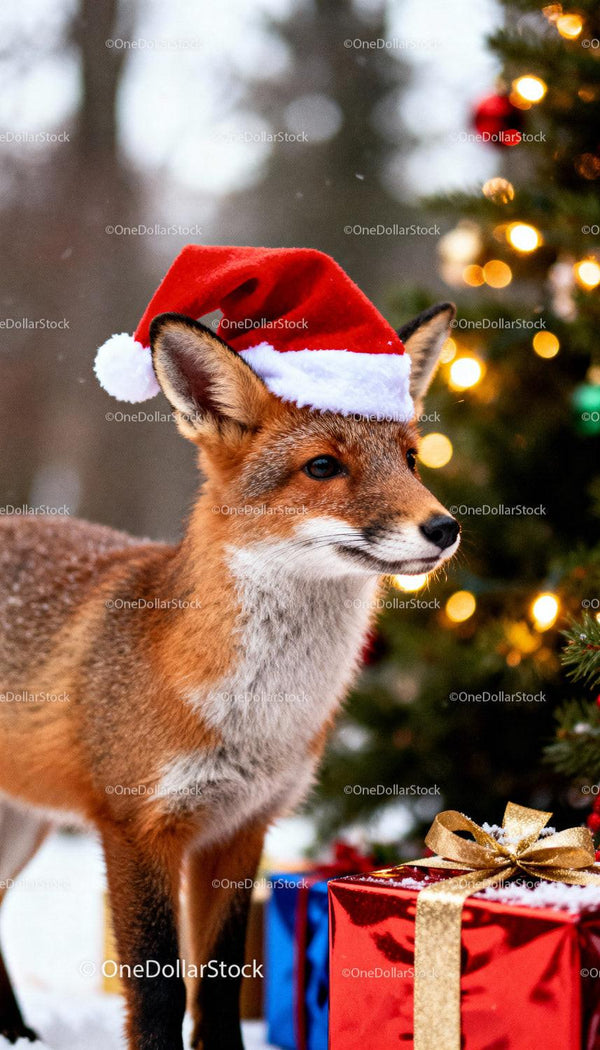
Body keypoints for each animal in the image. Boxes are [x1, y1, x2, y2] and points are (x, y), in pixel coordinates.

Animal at [0, 301, 459, 1050]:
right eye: (323, 466)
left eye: (413, 459)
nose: (445, 528)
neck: (256, 717)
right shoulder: (138, 828)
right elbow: (158, 990)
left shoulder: (241, 827)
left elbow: (216, 982)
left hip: (21, 828)